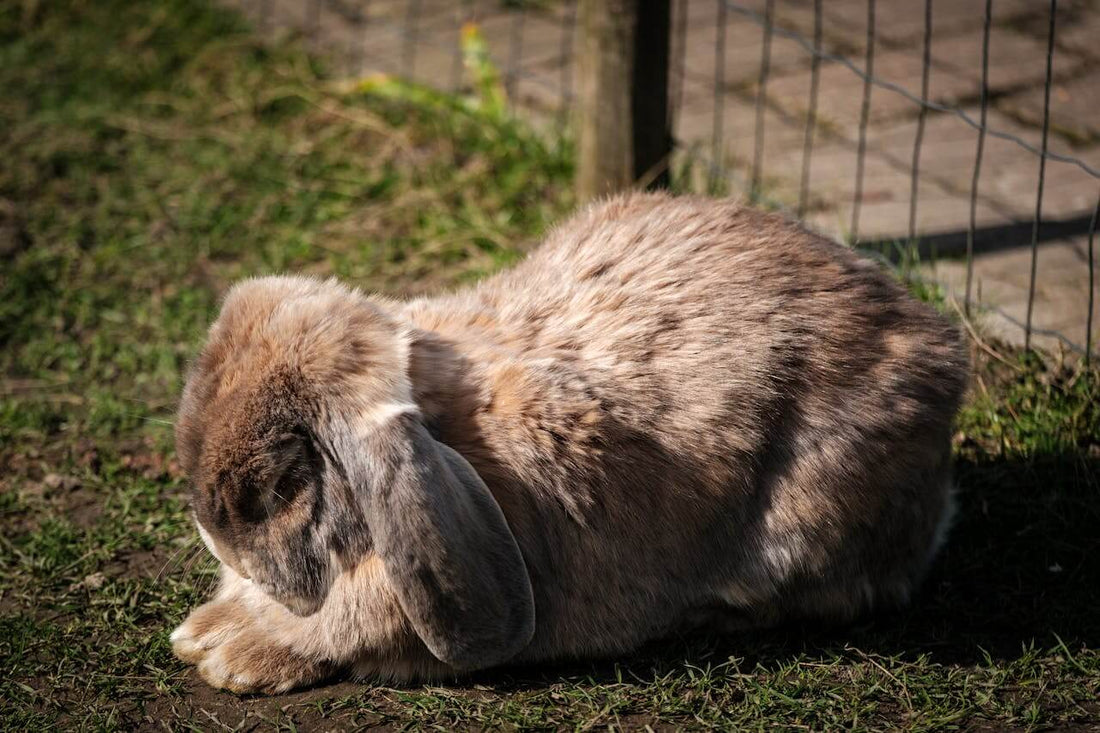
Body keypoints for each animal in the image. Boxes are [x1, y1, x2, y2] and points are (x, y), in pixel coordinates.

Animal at [169, 192, 969, 694]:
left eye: (279, 486)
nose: (215, 541)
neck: (454, 431)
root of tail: (939, 350)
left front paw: (235, 653)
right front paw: (204, 631)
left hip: (805, 521)